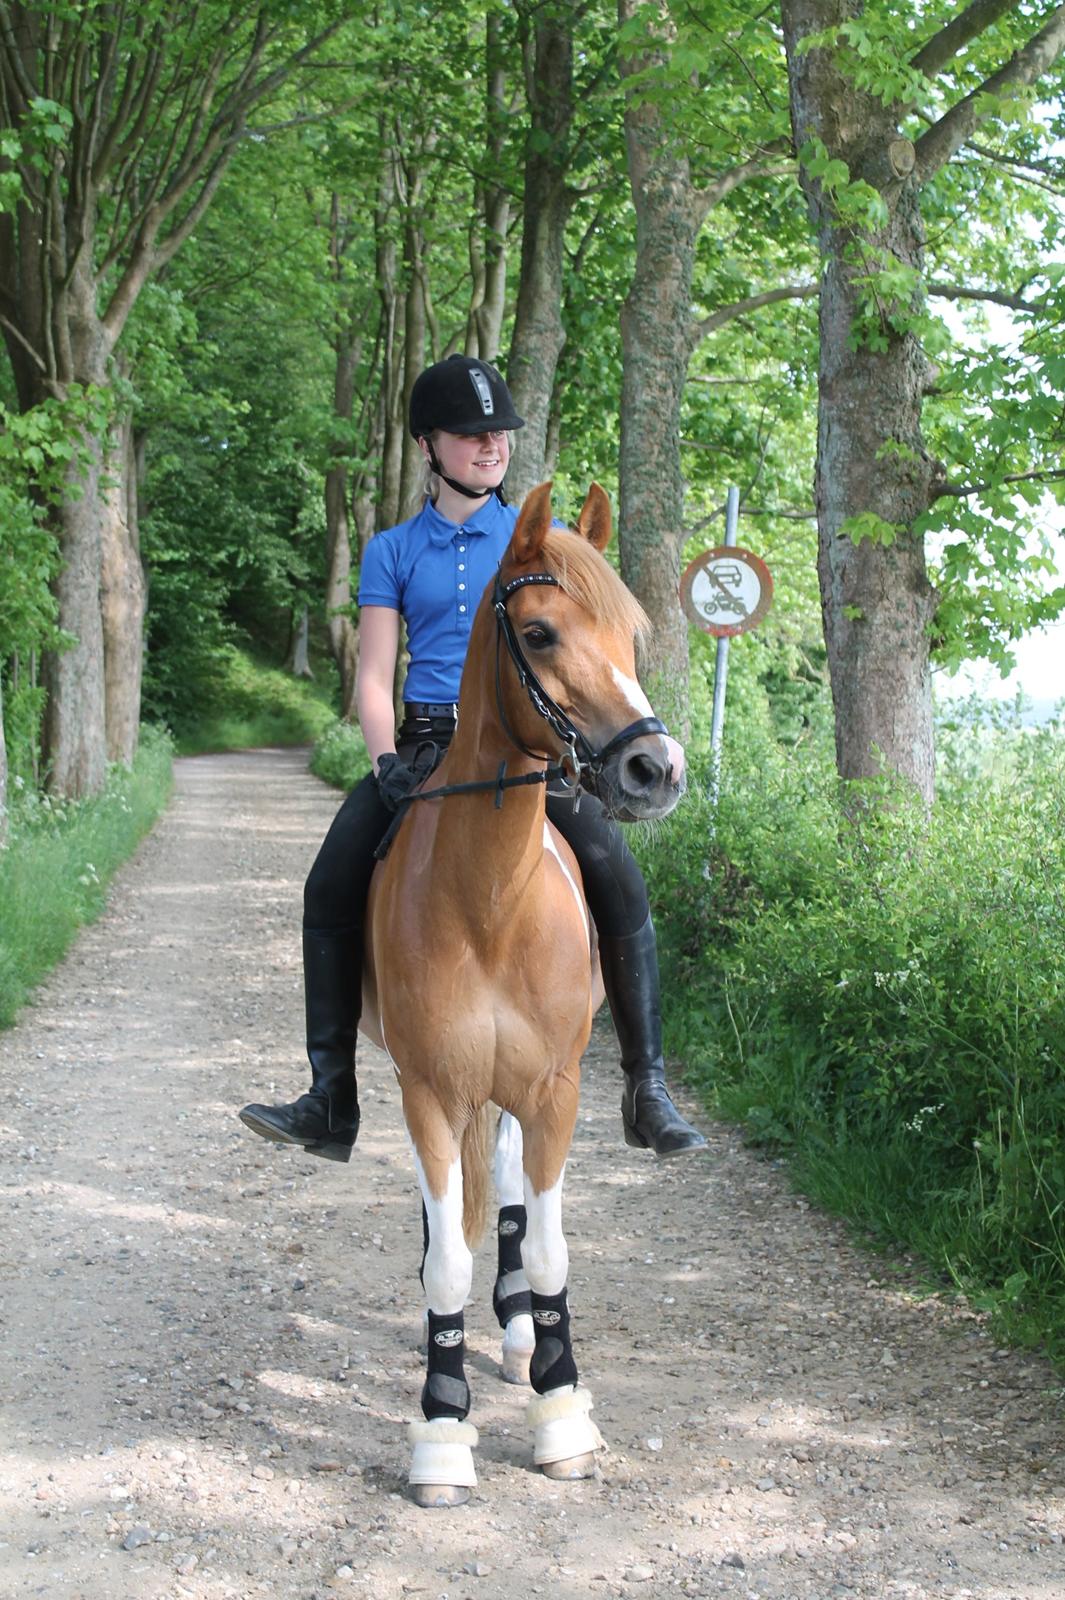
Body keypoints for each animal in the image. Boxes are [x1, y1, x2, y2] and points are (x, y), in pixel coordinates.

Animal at [358, 481, 681, 1506]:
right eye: (538, 634)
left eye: (631, 634)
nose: (656, 771)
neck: (489, 898)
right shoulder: (427, 1089)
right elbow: (445, 1260)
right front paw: (440, 1429)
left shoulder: (552, 1092)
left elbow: (541, 1245)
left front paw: (560, 1407)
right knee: (452, 1211)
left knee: (499, 1189)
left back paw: (512, 1333)